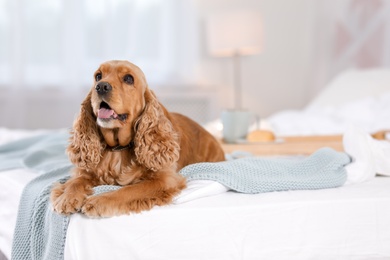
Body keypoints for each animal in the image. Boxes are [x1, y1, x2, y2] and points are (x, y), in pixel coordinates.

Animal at [50, 60, 224, 217]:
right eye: (98, 76)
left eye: (128, 78)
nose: (101, 86)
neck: (118, 149)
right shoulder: (85, 172)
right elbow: (75, 181)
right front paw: (66, 198)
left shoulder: (165, 179)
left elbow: (129, 190)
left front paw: (99, 201)